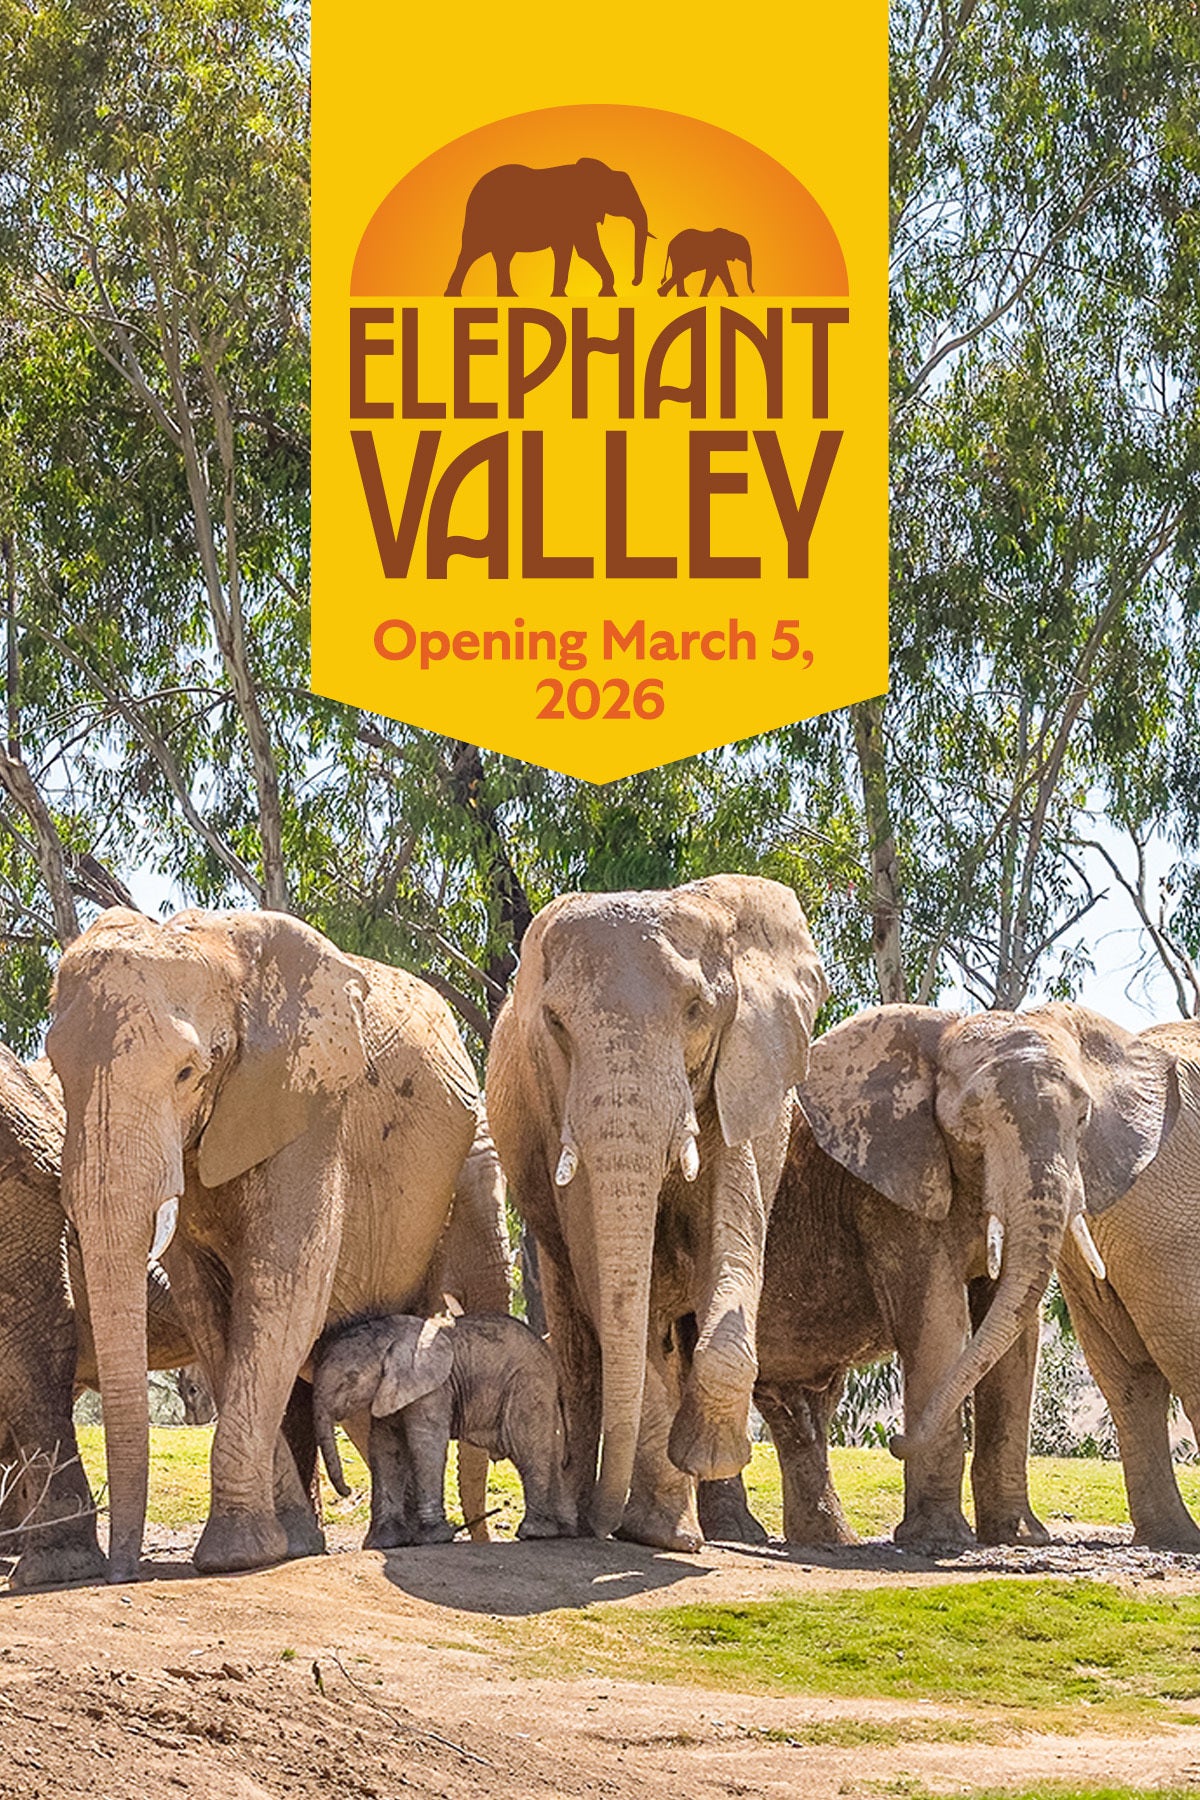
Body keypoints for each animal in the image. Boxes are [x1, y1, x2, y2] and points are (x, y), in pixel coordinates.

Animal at [46, 906, 484, 1582]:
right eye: (59, 1074)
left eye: (187, 1073)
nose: (123, 1573)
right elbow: (208, 1308)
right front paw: (283, 1544)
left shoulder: (314, 1105)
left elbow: (283, 1288)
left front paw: (237, 1557)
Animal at [313, 1311, 574, 1547]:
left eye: (351, 1378)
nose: (347, 1490)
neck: (392, 1334)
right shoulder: (389, 1390)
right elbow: (386, 1448)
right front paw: (382, 1543)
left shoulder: (433, 1388)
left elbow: (425, 1443)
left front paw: (433, 1537)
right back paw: (562, 1530)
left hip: (528, 1385)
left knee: (528, 1448)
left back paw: (533, 1532)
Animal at [444, 157, 650, 297]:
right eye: (624, 196)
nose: (633, 282)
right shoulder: (576, 213)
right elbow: (587, 249)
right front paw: (608, 294)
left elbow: (567, 250)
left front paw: (560, 296)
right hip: (481, 221)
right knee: (472, 252)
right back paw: (454, 295)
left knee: (501, 255)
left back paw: (508, 295)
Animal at [487, 874, 828, 1553]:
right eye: (556, 1023)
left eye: (695, 1011)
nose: (604, 1524)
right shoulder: (558, 1105)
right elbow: (610, 1288)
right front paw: (658, 1533)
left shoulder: (733, 1087)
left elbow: (734, 1247)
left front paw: (699, 1462)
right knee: (577, 1336)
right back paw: (568, 1523)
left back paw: (720, 1525)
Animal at [698, 1003, 1182, 1554]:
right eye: (970, 1119)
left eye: (1082, 1118)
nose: (894, 1440)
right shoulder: (892, 1187)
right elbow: (936, 1317)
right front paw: (939, 1540)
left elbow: (1016, 1336)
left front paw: (1021, 1538)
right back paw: (734, 1533)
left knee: (800, 1405)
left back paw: (826, 1541)